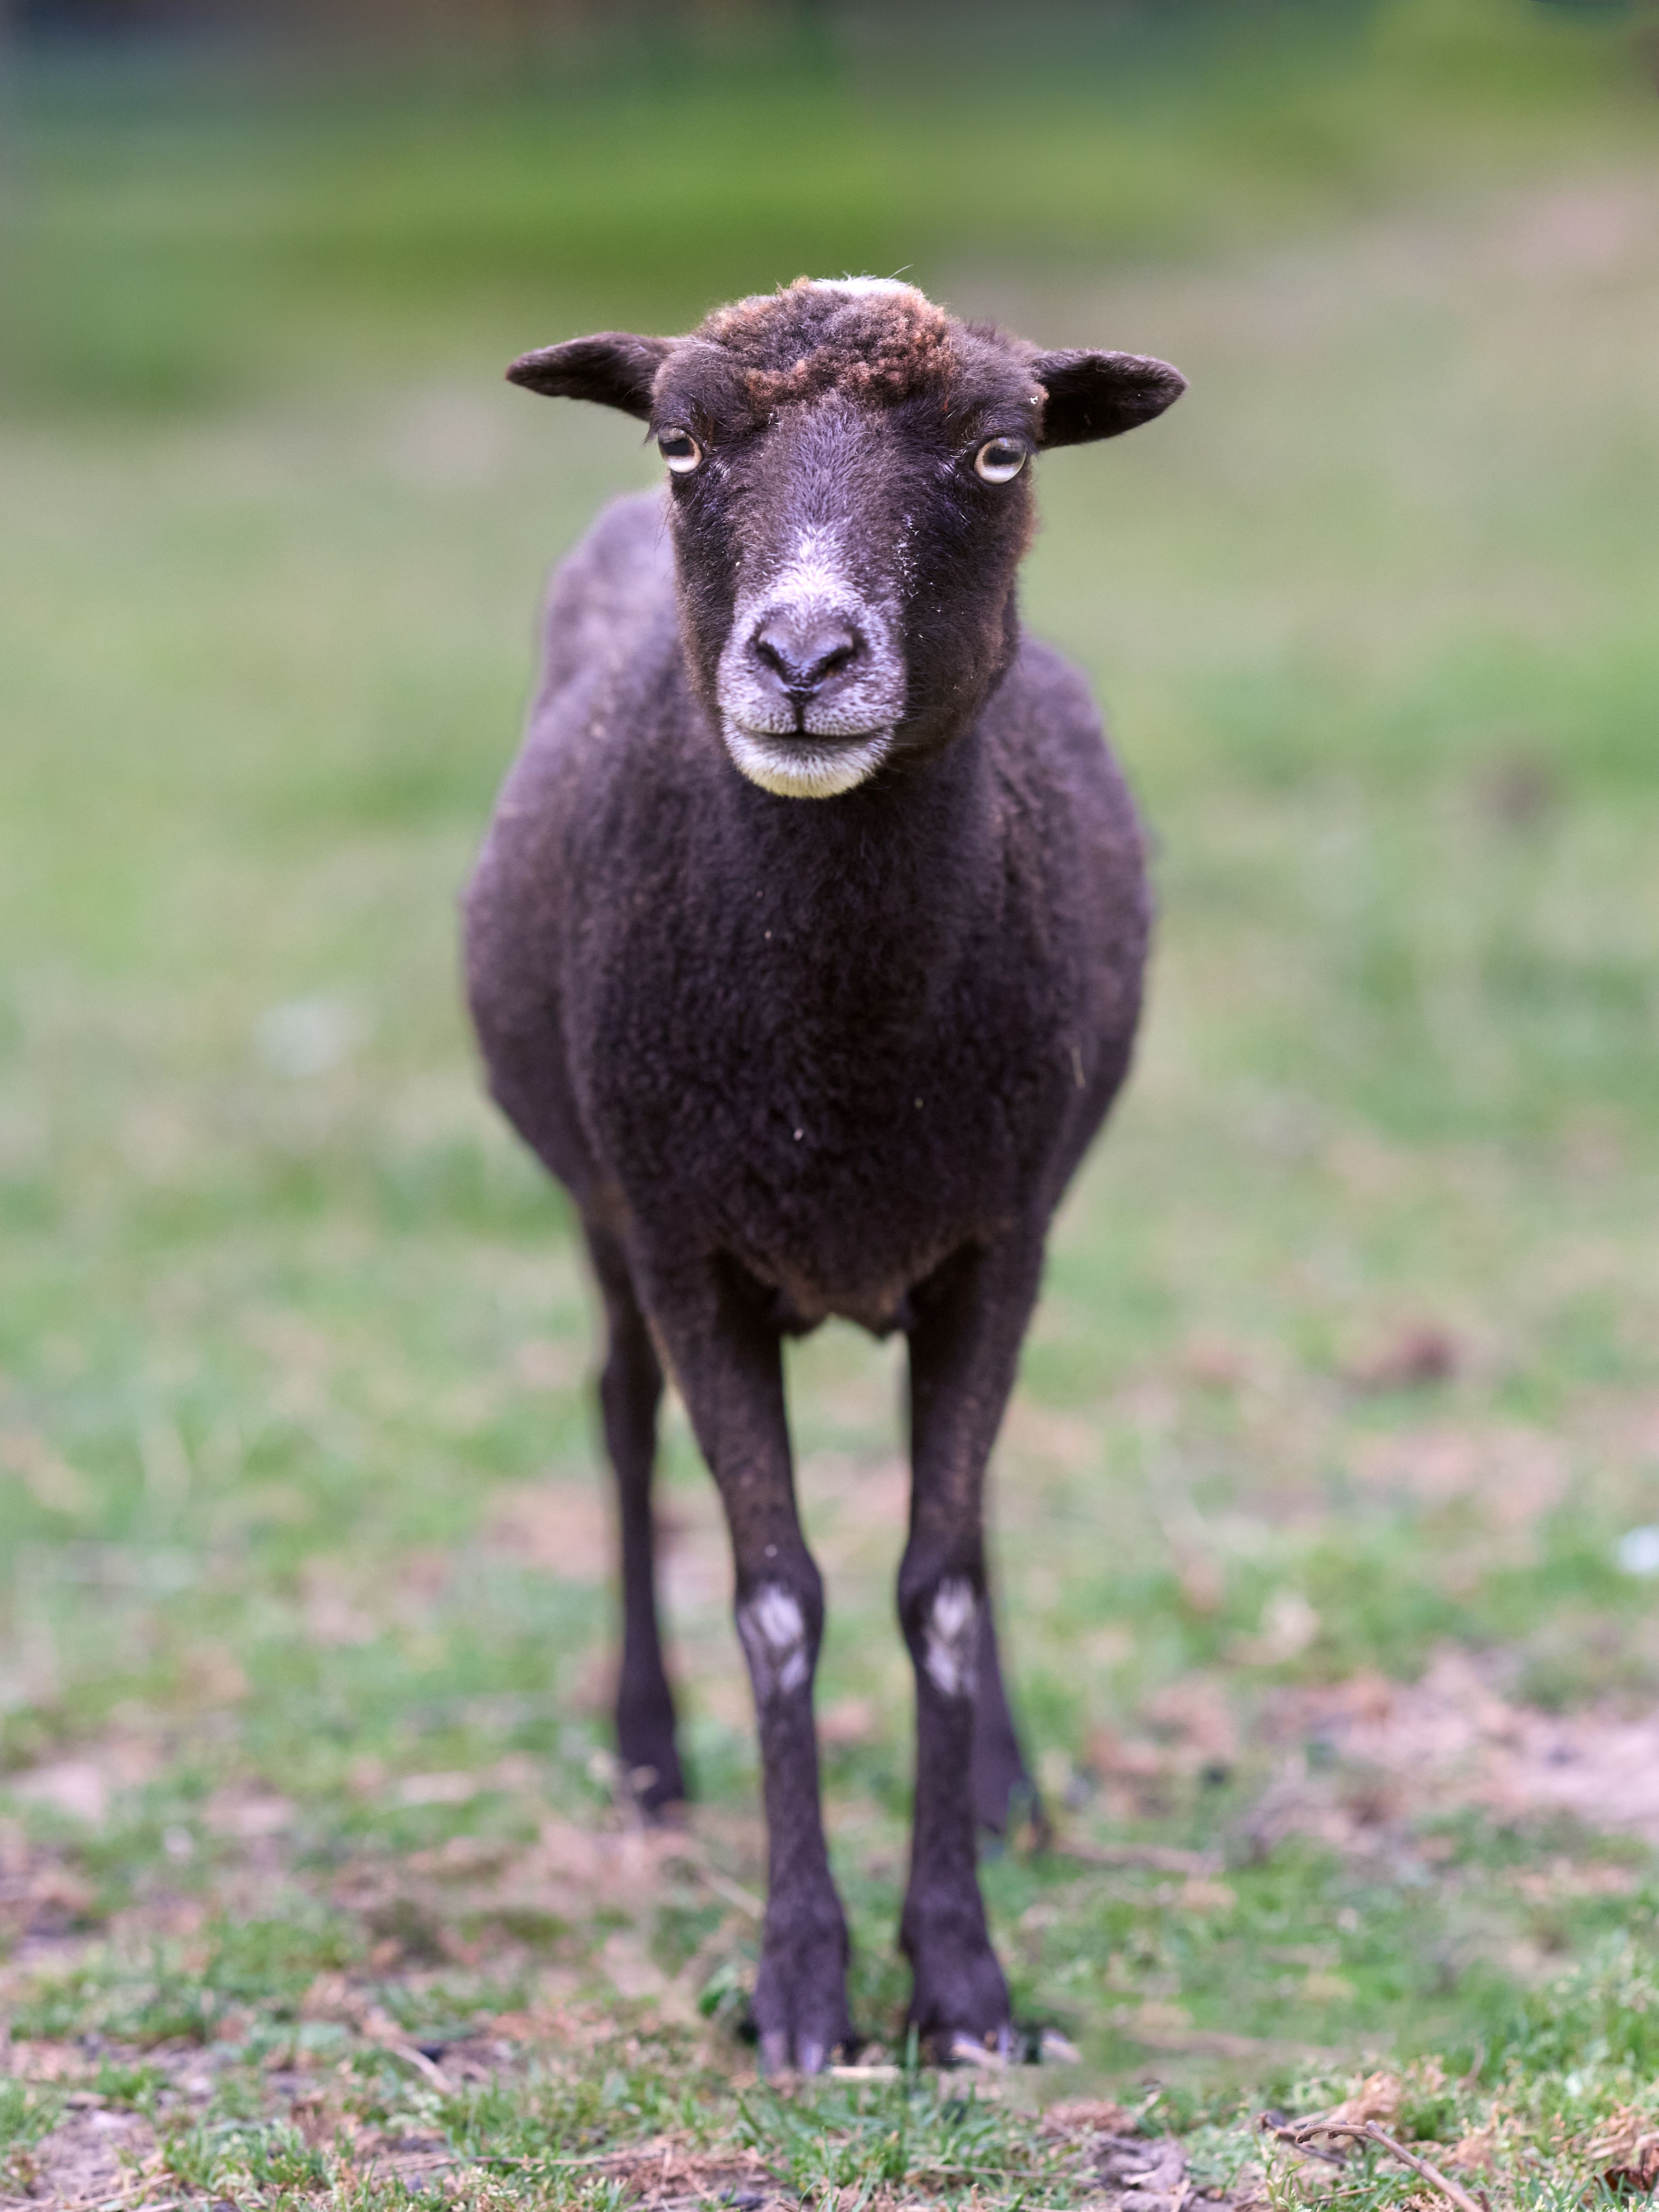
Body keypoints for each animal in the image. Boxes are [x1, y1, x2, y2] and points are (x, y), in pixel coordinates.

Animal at [464, 277, 1184, 2072]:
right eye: (679, 441)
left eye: (998, 452)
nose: (801, 658)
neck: (836, 1073)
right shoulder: (688, 1242)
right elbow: (778, 1601)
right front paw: (798, 1988)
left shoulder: (998, 1239)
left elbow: (935, 1591)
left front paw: (962, 1980)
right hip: (604, 1214)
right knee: (620, 1424)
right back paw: (648, 1761)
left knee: (965, 1520)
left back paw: (1005, 1786)